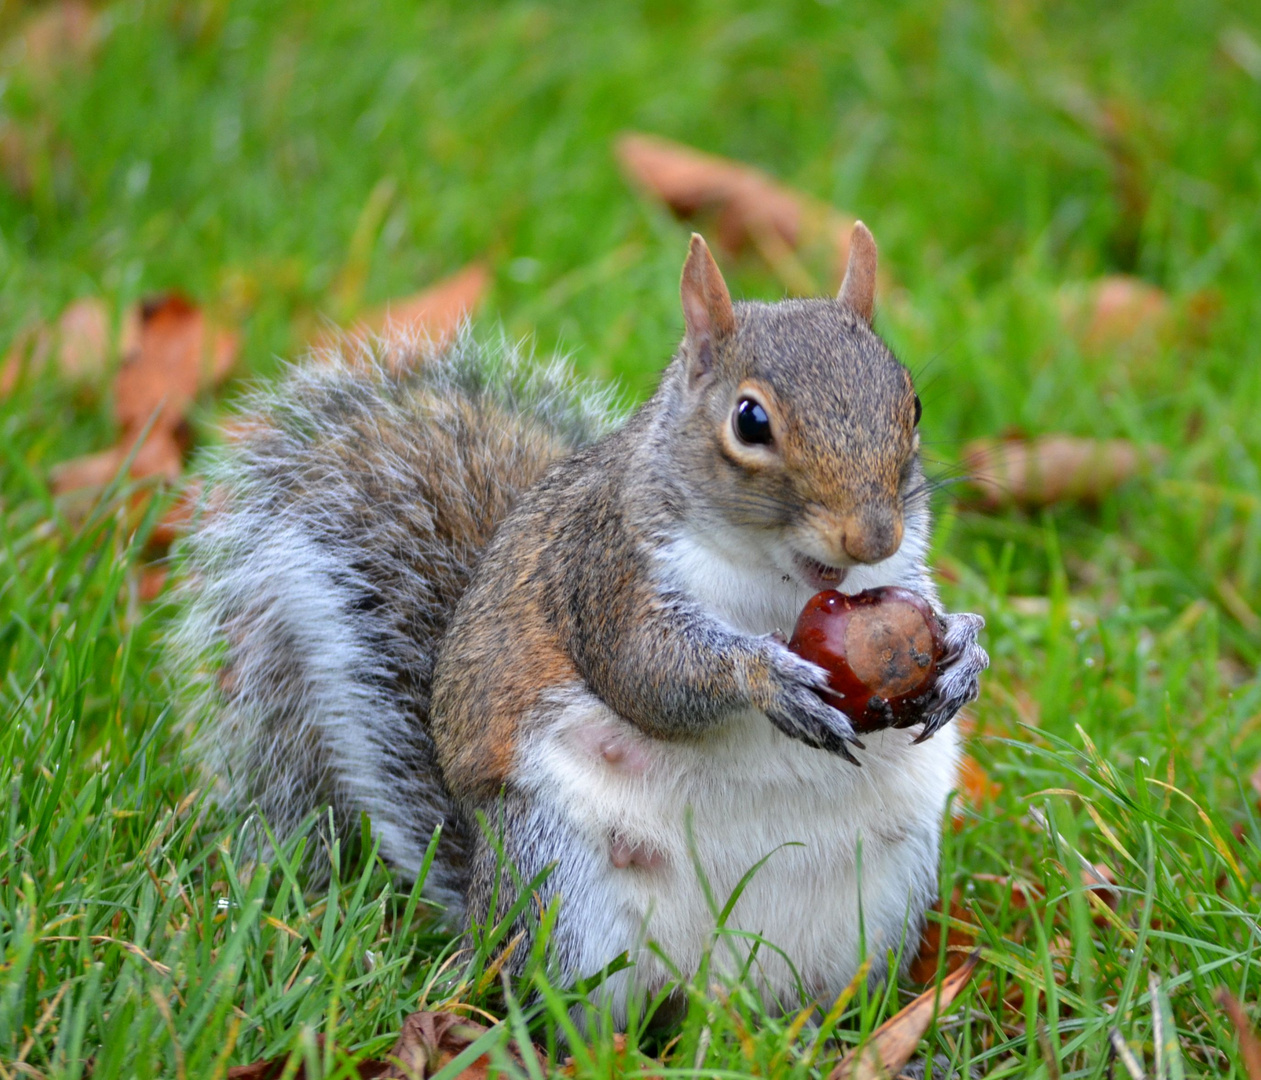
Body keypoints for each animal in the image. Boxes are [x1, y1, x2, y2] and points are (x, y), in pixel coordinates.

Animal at [172, 225, 988, 1019]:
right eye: (750, 420)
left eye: (912, 405)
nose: (871, 537)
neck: (779, 579)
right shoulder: (606, 574)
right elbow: (647, 674)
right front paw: (765, 677)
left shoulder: (900, 574)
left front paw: (964, 652)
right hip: (560, 890)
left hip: (878, 905)